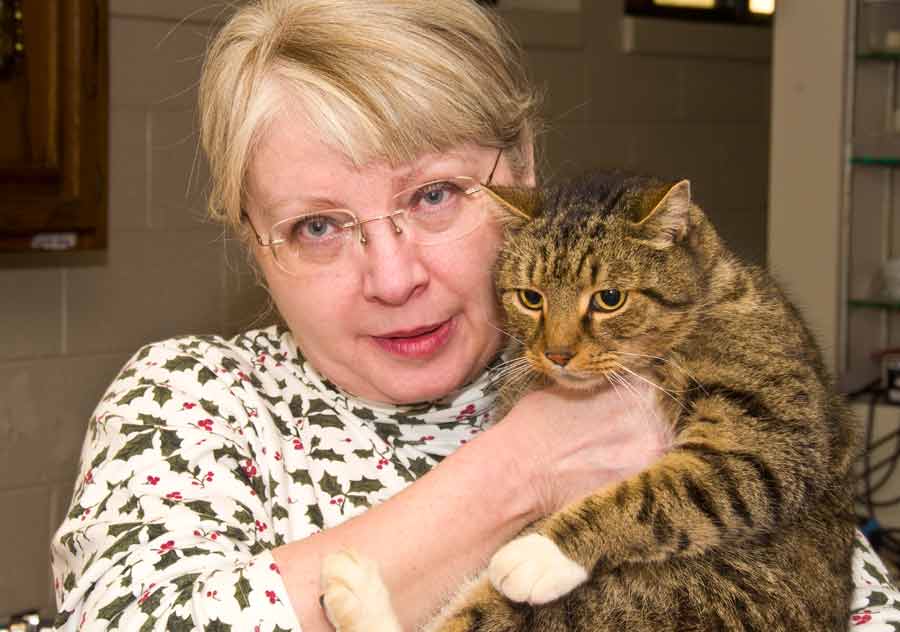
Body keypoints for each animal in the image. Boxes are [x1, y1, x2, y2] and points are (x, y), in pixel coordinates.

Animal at [320, 172, 861, 632]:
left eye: (609, 299)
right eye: (531, 297)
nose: (557, 354)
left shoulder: (770, 436)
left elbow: (660, 492)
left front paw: (543, 551)